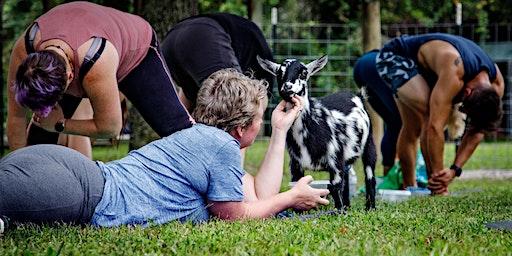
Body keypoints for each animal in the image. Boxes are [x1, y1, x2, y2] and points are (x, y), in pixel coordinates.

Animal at [260, 55, 376, 210]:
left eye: (304, 73)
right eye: (279, 73)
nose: (287, 87)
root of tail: (358, 96)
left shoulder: (335, 161)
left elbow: (335, 188)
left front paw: (339, 211)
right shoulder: (295, 165)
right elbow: (296, 189)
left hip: (369, 144)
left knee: (370, 176)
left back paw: (370, 207)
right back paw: (347, 206)